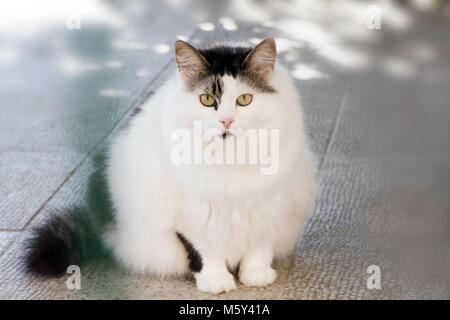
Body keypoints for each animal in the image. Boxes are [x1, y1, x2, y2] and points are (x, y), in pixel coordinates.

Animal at [22, 37, 316, 292]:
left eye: (244, 100)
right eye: (207, 100)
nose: (226, 121)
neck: (229, 159)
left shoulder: (272, 203)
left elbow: (259, 244)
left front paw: (256, 274)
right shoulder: (189, 216)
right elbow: (205, 251)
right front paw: (216, 281)